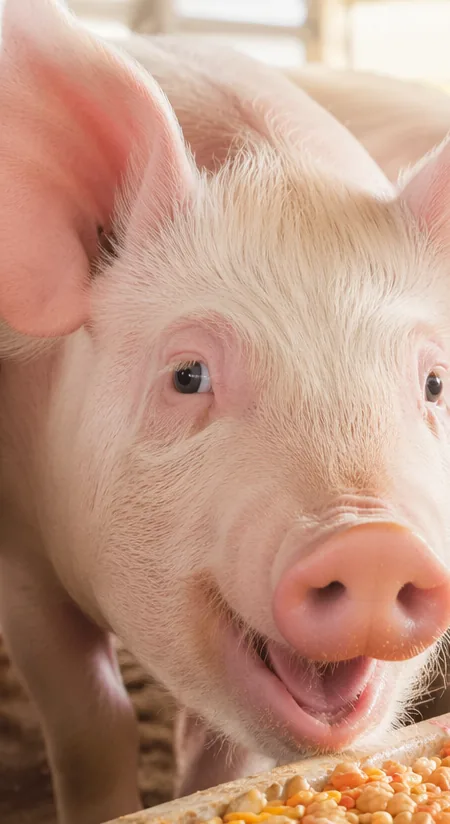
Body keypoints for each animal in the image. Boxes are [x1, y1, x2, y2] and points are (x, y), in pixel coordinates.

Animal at [2, 2, 450, 823]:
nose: (372, 543)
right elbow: (89, 718)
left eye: (433, 383)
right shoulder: (21, 552)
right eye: (189, 376)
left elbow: (226, 753)